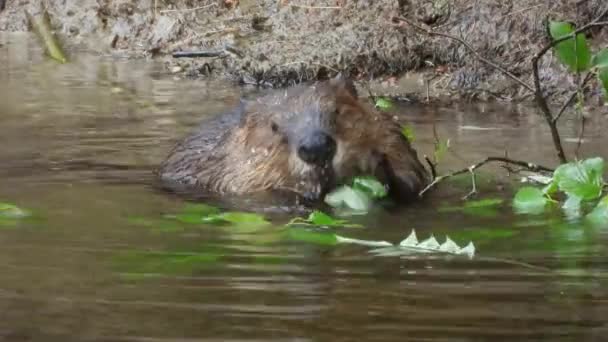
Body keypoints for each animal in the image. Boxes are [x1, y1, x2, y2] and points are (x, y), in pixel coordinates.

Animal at [159, 77, 430, 204]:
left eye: (337, 111)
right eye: (273, 126)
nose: (316, 147)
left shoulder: (390, 132)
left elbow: (413, 175)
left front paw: (378, 165)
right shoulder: (223, 169)